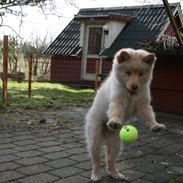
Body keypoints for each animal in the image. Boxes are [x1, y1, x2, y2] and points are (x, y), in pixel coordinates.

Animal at [85, 48, 167, 181]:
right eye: (128, 73)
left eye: (141, 74)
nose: (135, 86)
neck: (130, 94)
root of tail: (106, 132)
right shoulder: (118, 101)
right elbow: (116, 111)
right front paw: (114, 121)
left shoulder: (143, 104)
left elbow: (149, 116)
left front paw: (156, 126)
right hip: (95, 137)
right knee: (96, 158)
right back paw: (96, 175)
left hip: (116, 143)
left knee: (109, 159)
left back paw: (115, 174)